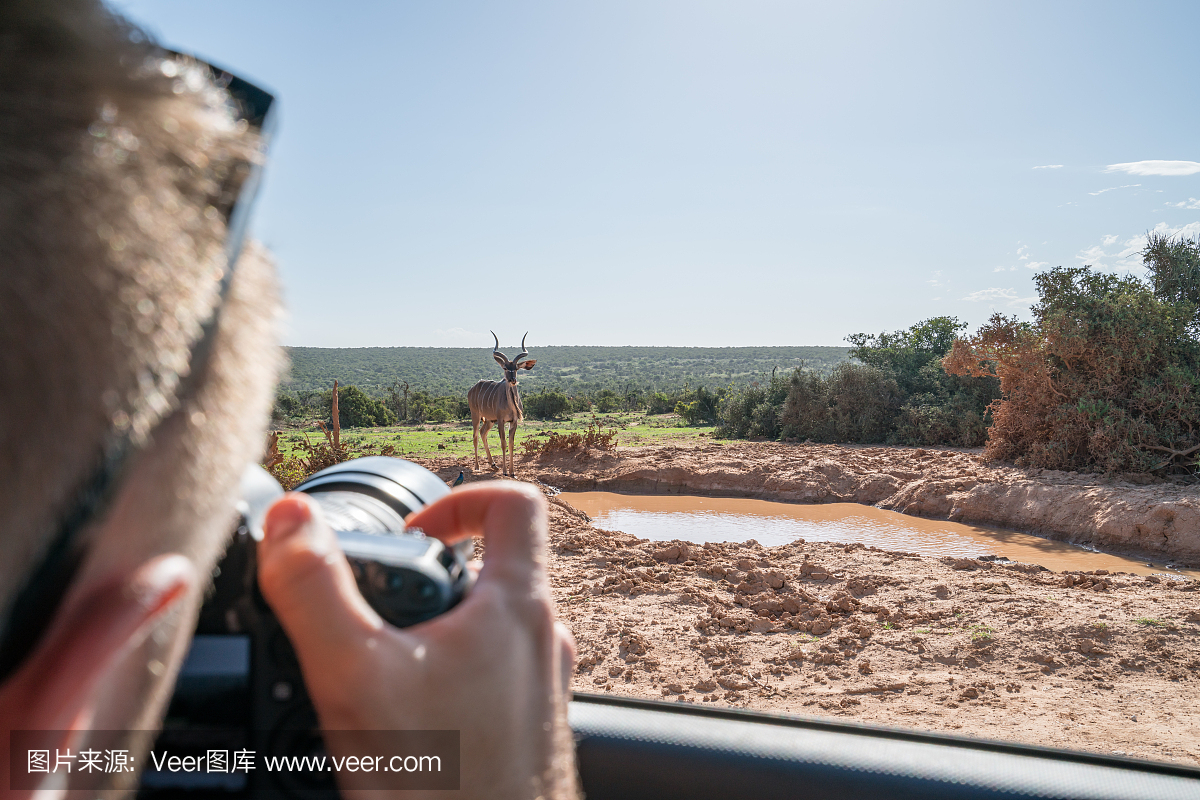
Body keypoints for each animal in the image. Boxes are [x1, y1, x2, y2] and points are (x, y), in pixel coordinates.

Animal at [465, 331, 537, 474]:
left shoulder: (513, 421)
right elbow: (503, 443)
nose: (512, 379)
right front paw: (505, 471)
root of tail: (473, 388)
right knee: (475, 436)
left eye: (516, 368)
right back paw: (477, 466)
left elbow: (511, 443)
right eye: (504, 367)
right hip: (476, 415)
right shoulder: (501, 420)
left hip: (489, 420)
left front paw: (512, 472)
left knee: (482, 433)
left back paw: (493, 464)